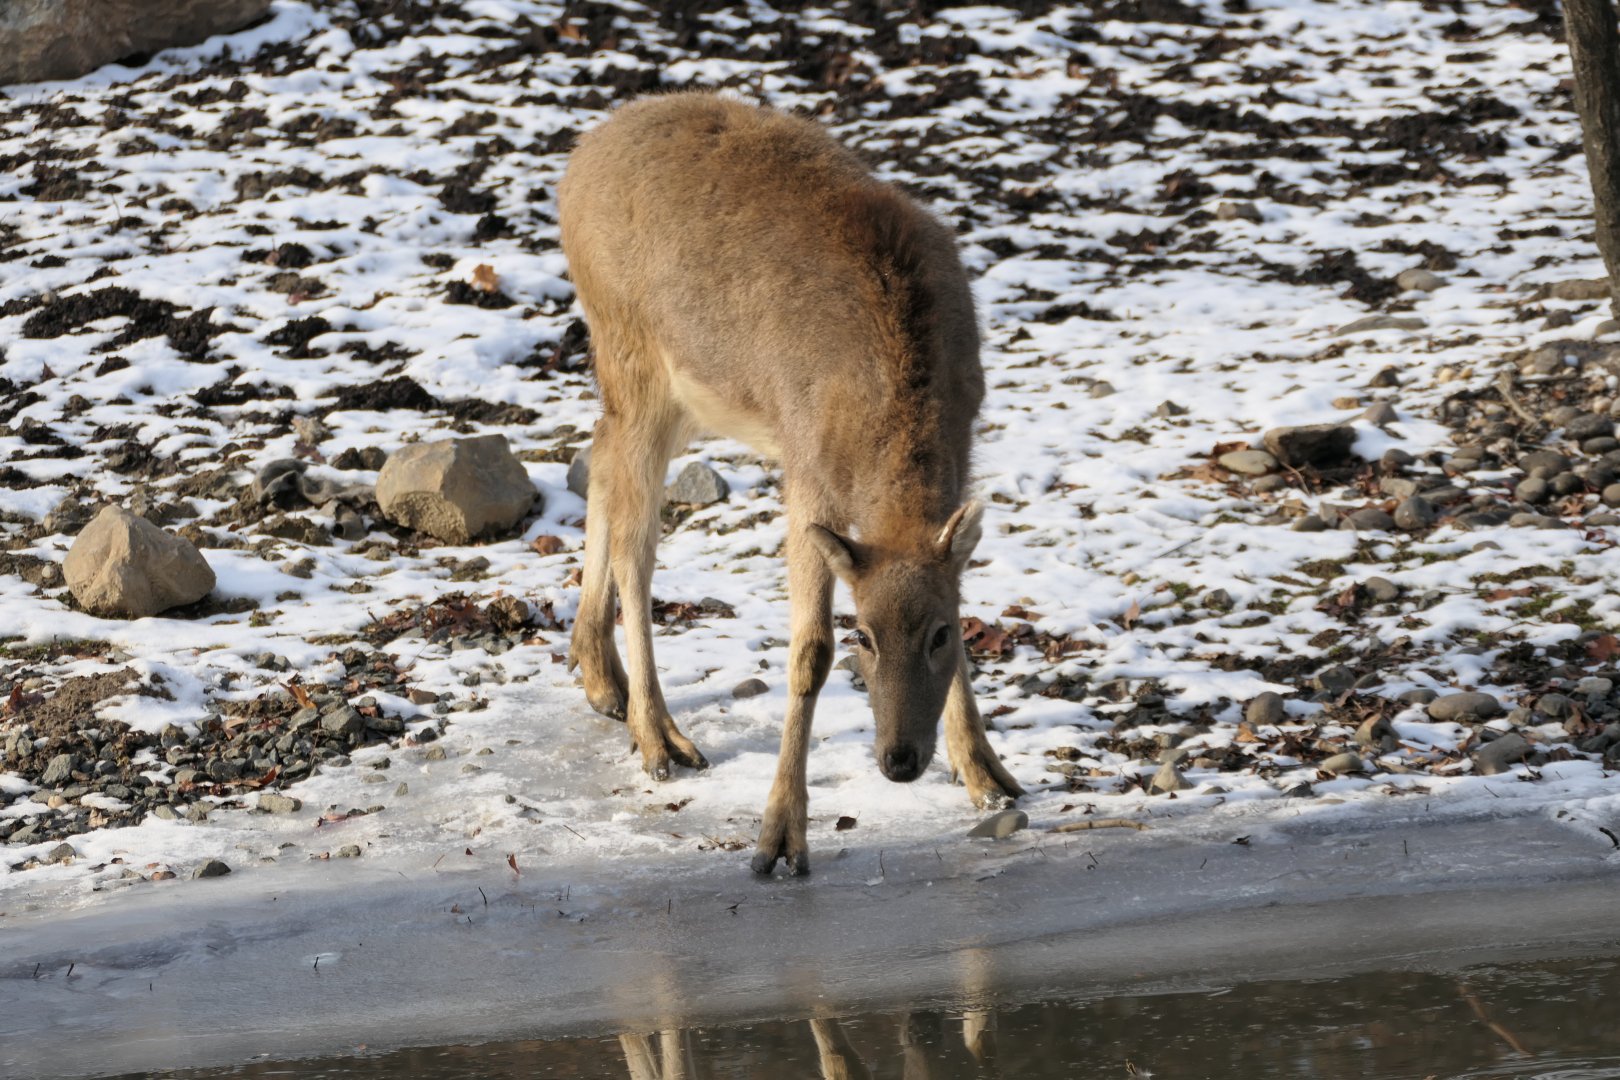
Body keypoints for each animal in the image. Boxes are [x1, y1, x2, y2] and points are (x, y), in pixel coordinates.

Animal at [558, 92, 1023, 876]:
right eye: (864, 635)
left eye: (941, 633)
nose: (900, 760)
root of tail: (577, 161)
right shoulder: (805, 469)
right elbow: (808, 650)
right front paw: (777, 838)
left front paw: (987, 774)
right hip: (632, 352)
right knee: (635, 542)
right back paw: (658, 738)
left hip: (674, 395)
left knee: (598, 464)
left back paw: (602, 682)